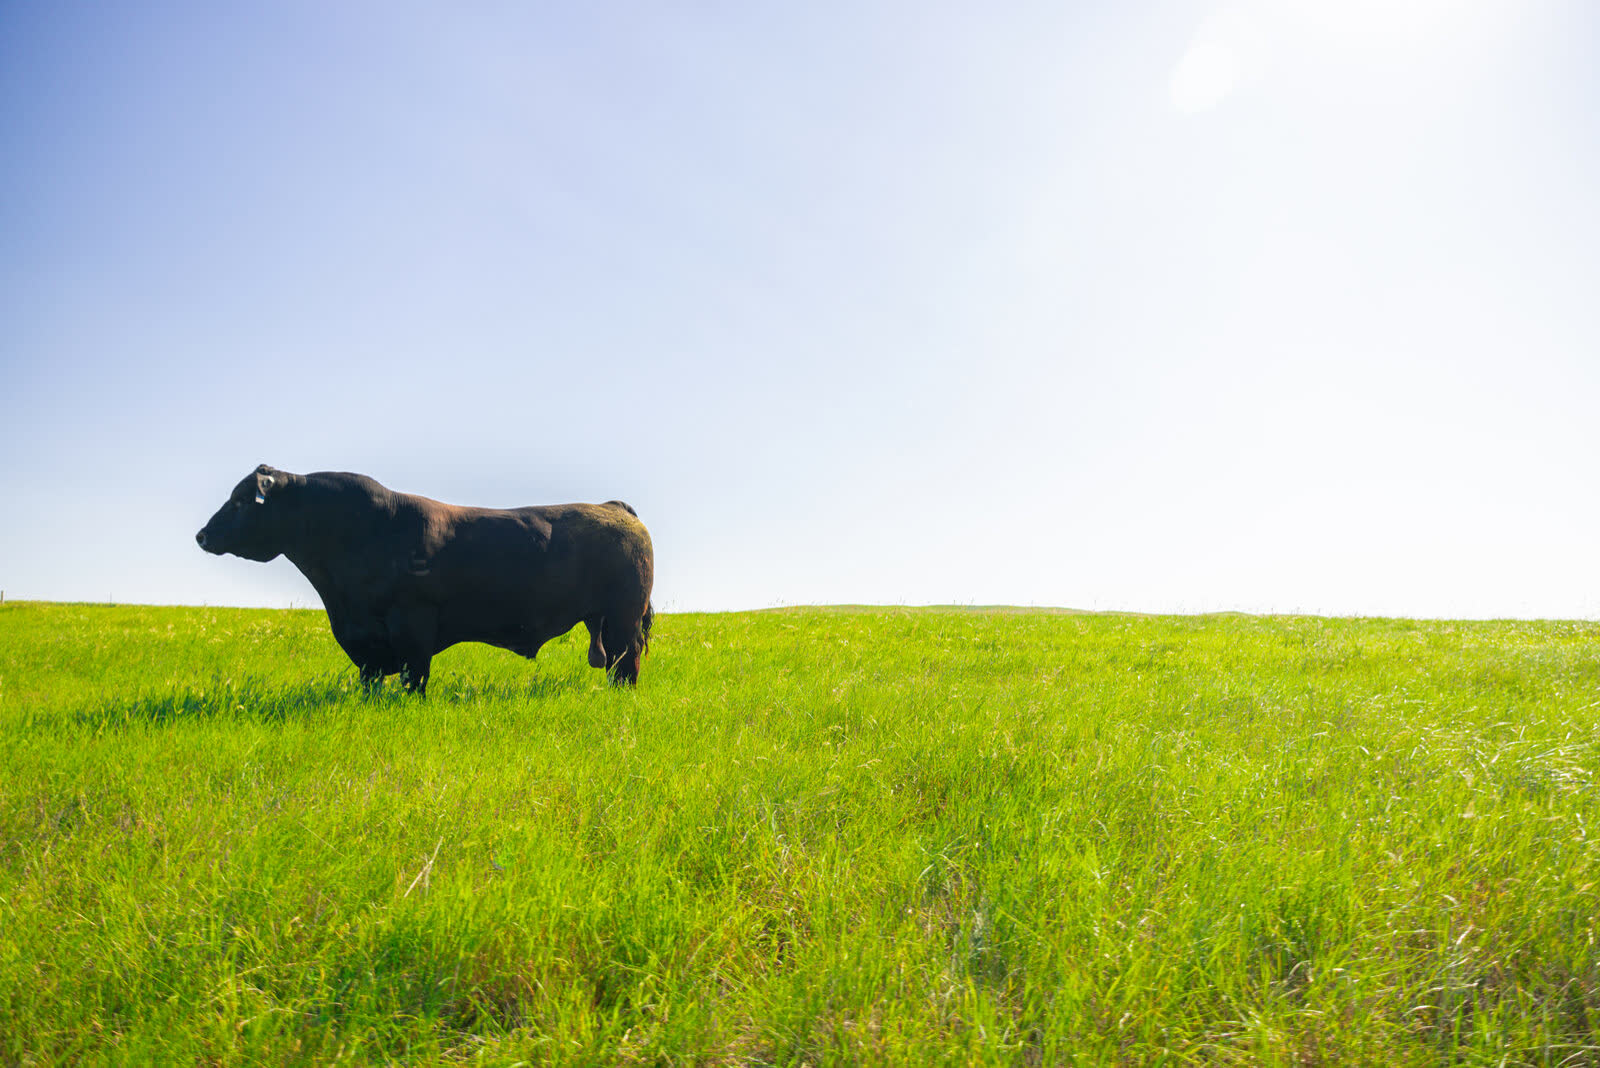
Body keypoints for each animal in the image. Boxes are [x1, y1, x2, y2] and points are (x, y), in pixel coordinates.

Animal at [196, 465, 654, 695]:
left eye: (241, 500)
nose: (202, 535)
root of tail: (613, 507)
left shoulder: (412, 624)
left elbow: (414, 676)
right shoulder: (365, 642)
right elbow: (370, 680)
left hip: (623, 619)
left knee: (626, 663)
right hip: (603, 620)